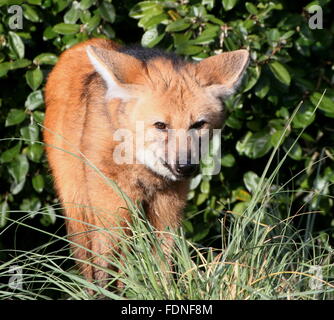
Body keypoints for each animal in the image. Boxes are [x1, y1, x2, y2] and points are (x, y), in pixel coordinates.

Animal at [43, 38, 248, 288]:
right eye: (160, 125)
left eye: (198, 124)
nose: (186, 167)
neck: (143, 172)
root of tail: (83, 44)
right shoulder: (110, 214)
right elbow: (103, 273)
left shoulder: (167, 215)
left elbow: (163, 270)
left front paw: (167, 291)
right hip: (80, 206)